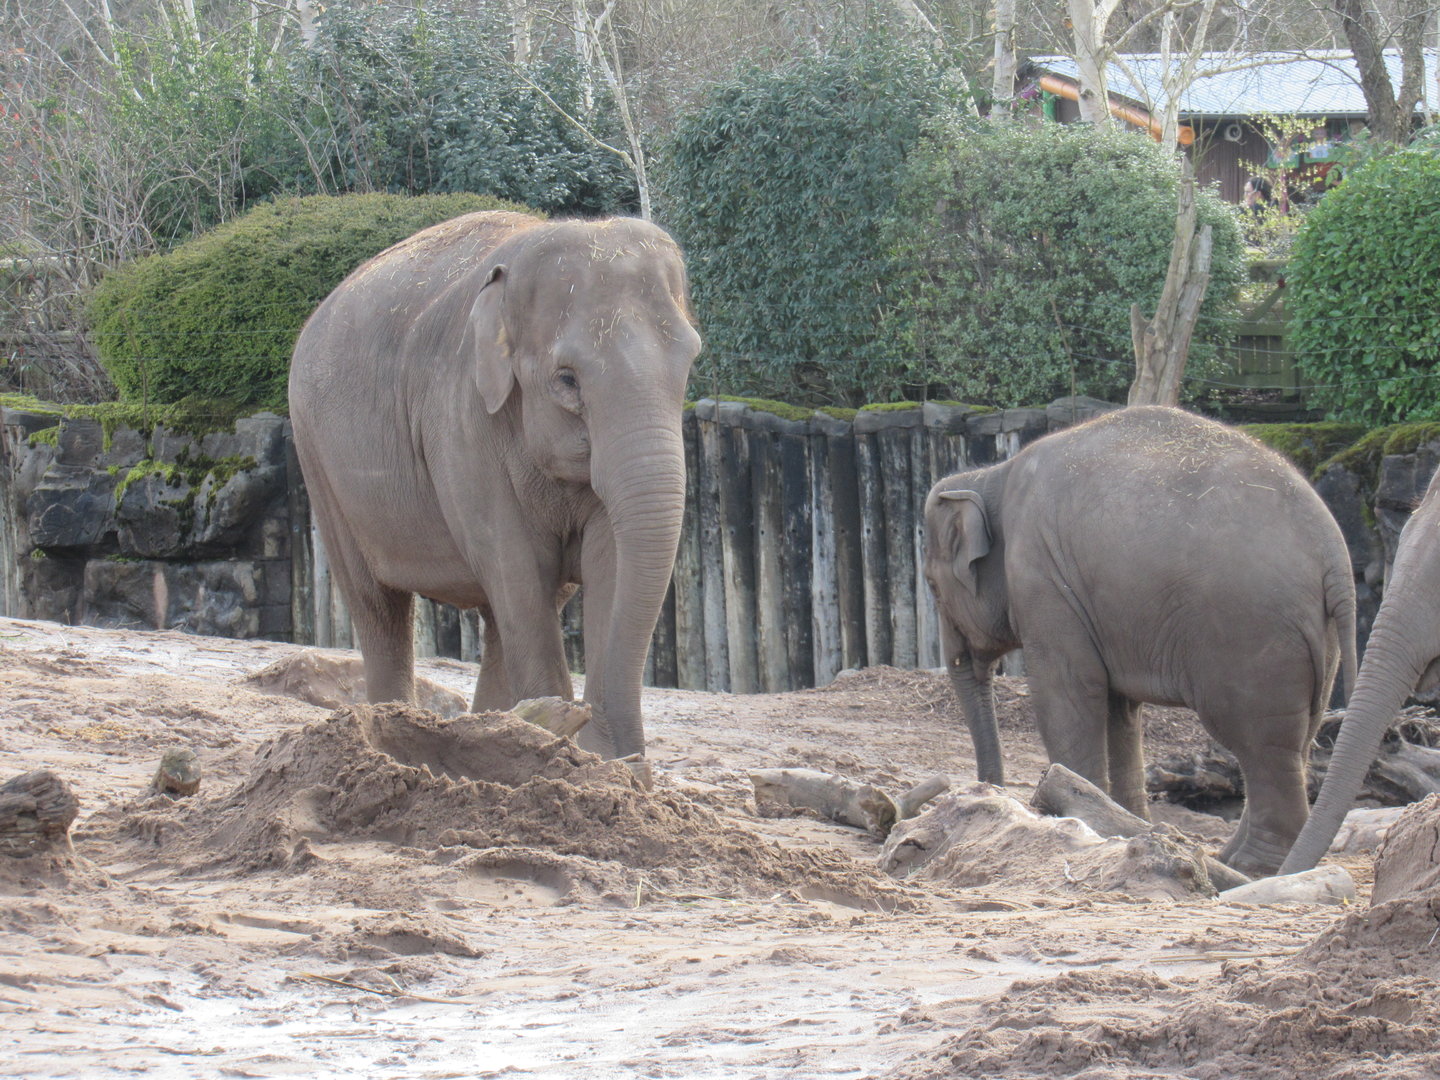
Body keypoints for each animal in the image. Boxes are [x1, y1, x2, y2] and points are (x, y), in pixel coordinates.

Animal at [288, 211, 701, 763]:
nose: (626, 756)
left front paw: (604, 764)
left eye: (690, 363)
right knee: (378, 606)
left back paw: (489, 727)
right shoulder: (460, 419)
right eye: (566, 380)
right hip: (317, 460)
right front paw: (568, 755)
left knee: (500, 618)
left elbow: (608, 562)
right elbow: (516, 565)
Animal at [923, 405, 1357, 876]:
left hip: (1252, 636)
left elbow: (1069, 693)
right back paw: (1229, 858)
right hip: (1315, 641)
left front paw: (1073, 811)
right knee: (1297, 739)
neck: (991, 475)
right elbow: (1119, 709)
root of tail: (1334, 552)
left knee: (1262, 745)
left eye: (931, 585)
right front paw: (1125, 824)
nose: (989, 791)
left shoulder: (1042, 580)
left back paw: (1253, 867)